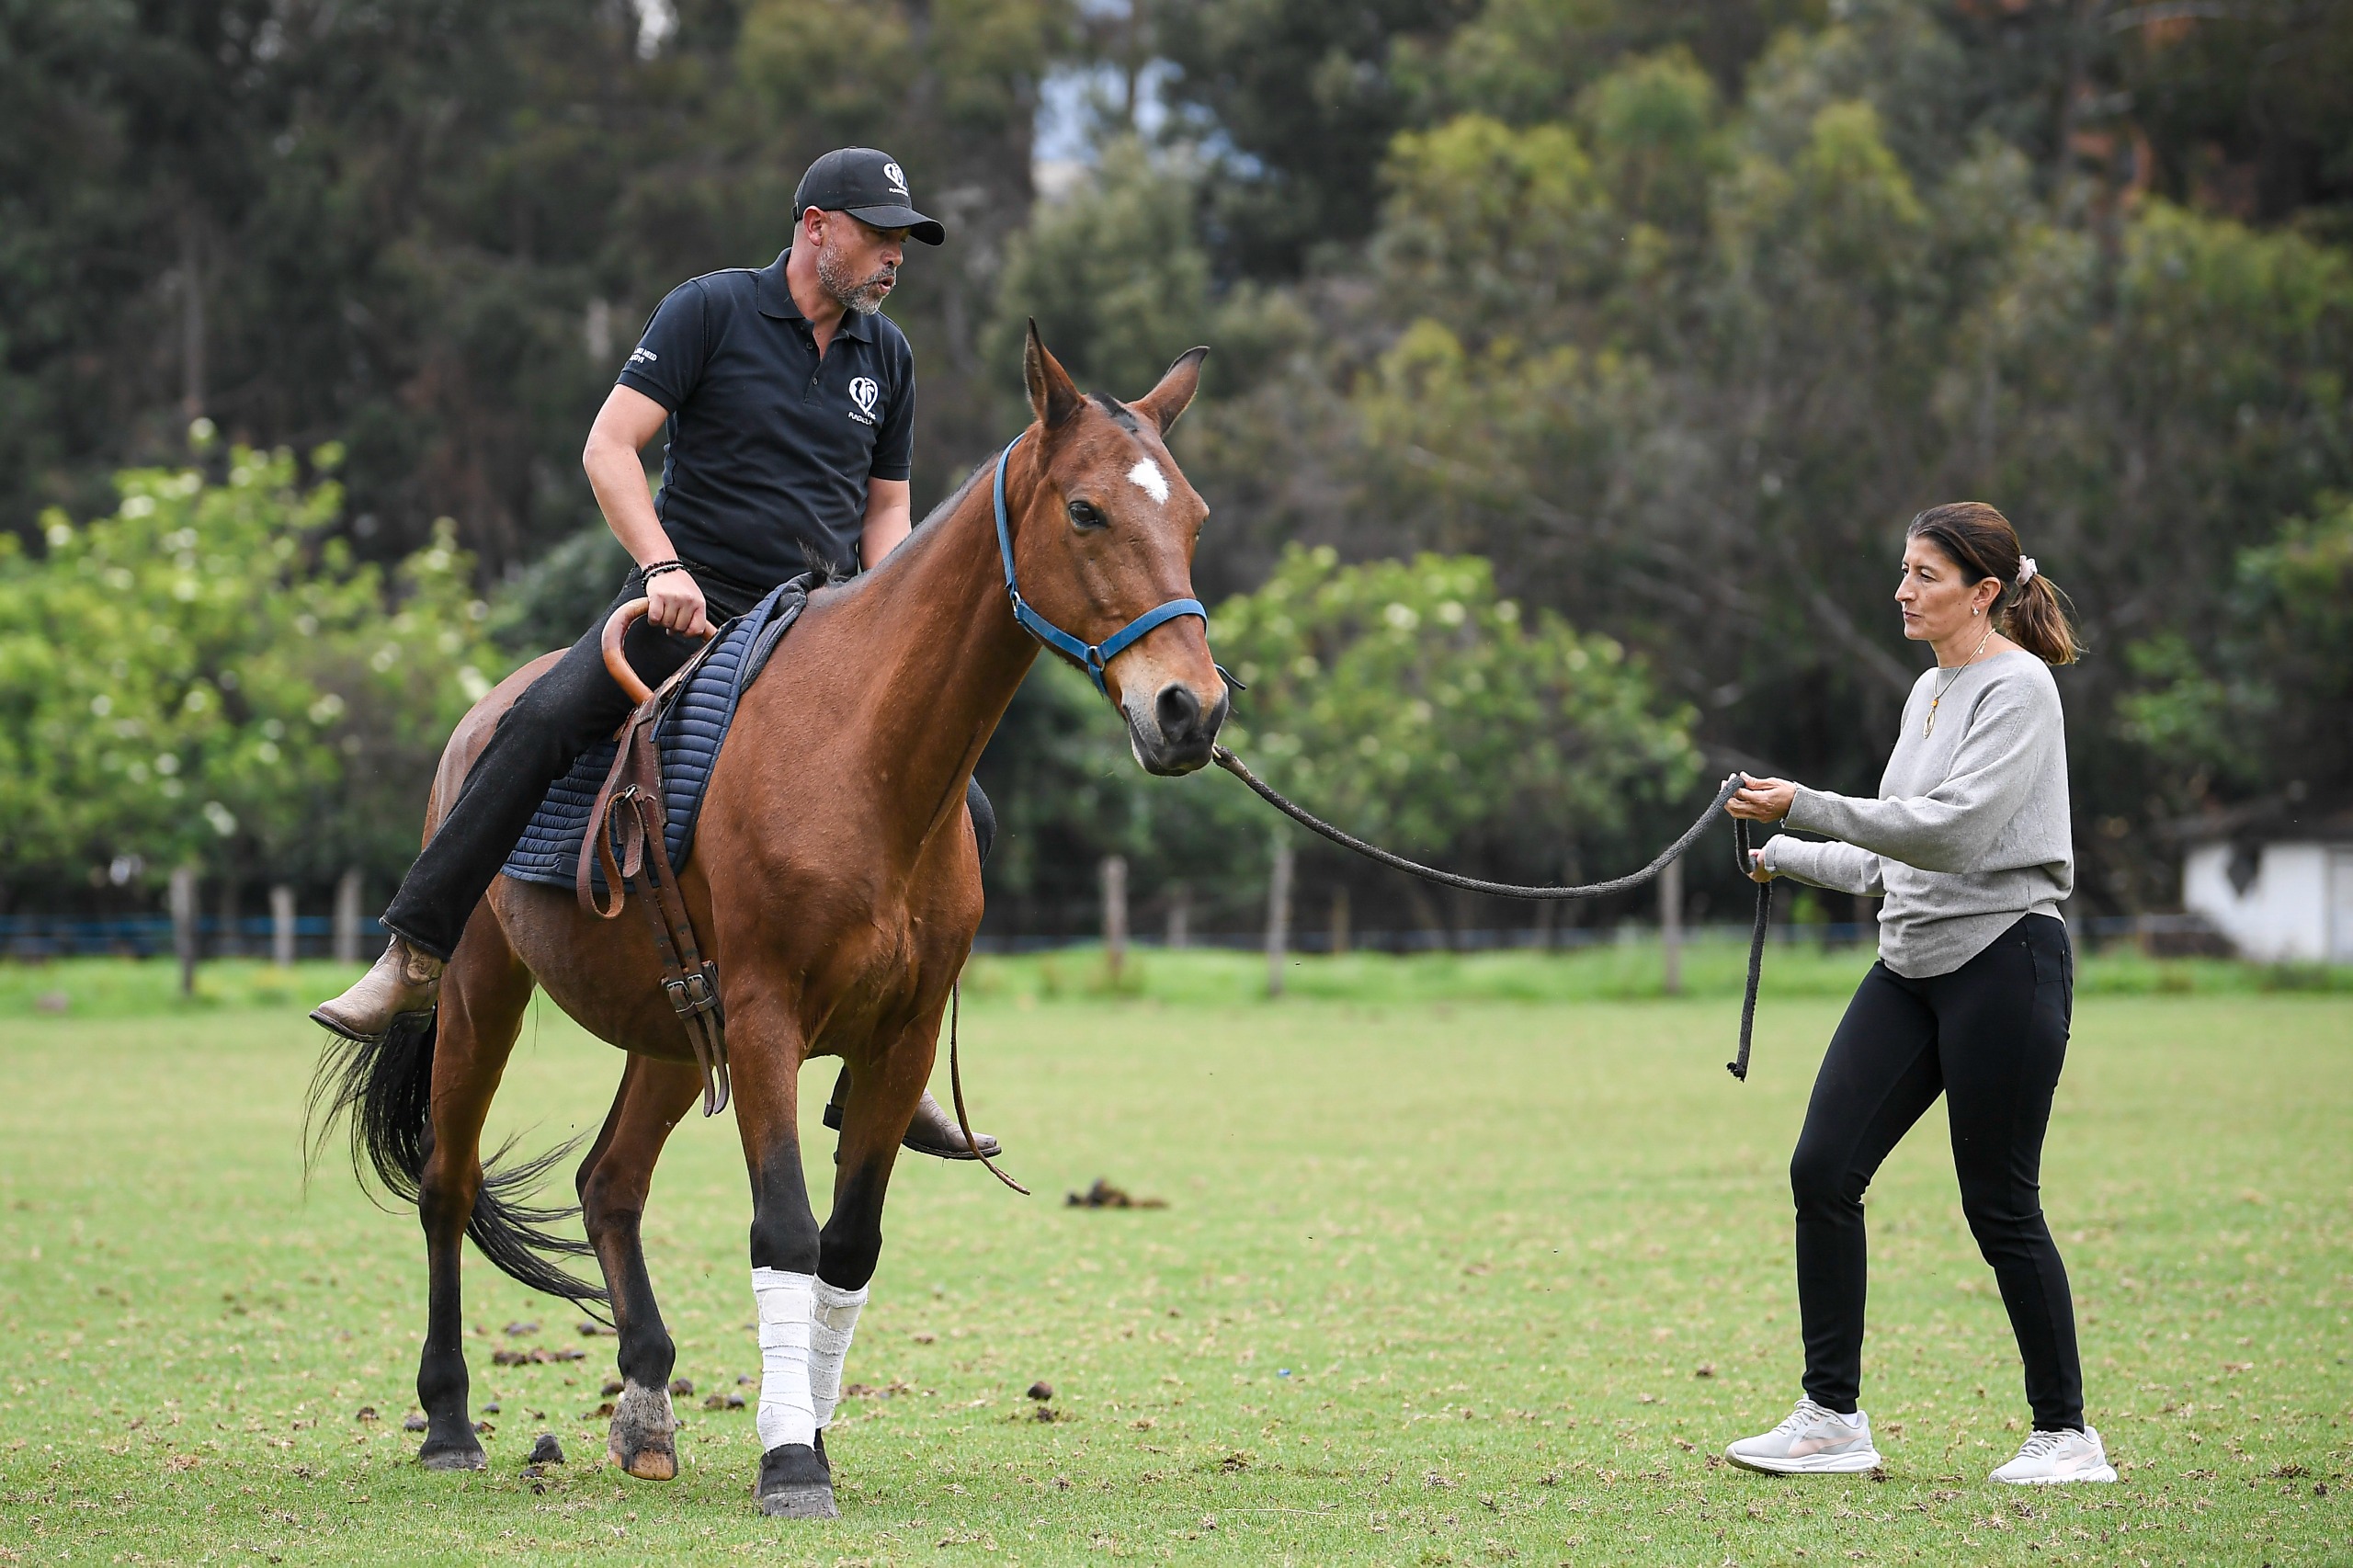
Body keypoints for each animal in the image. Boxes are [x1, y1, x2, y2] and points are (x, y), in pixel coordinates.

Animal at [310, 325, 1227, 1517]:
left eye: (1193, 515)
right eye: (1085, 510)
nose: (1190, 709)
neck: (863, 755)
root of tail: (483, 714)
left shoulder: (896, 1038)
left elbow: (848, 1244)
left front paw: (809, 1432)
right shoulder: (763, 1019)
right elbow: (784, 1226)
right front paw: (791, 1459)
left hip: (666, 1030)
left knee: (608, 1183)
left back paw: (646, 1407)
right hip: (480, 995)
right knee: (445, 1185)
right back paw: (452, 1420)